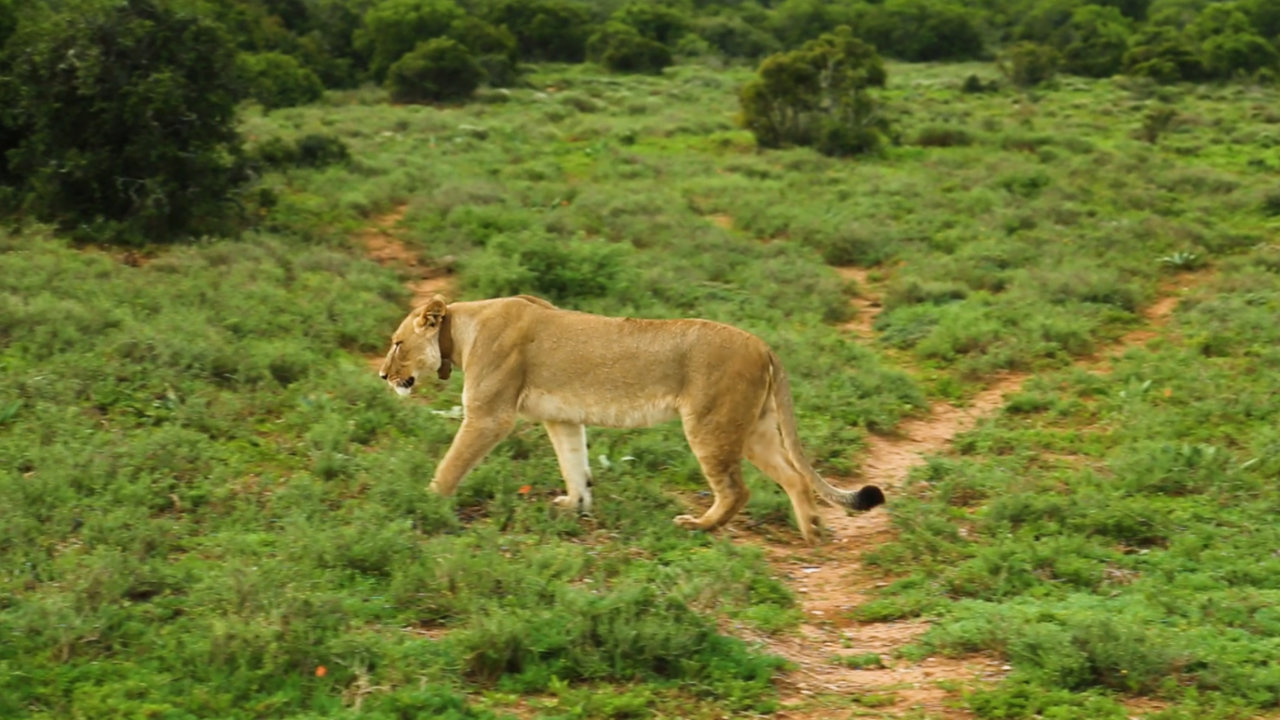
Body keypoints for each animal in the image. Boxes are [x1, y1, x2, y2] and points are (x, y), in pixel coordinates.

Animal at [378, 294, 885, 544]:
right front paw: (574, 506)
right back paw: (812, 532)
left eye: (397, 343)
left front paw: (424, 504)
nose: (383, 374)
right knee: (794, 477)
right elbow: (574, 464)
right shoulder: (562, 417)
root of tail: (764, 345)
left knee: (736, 490)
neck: (460, 331)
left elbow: (451, 465)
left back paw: (698, 527)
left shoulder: (489, 416)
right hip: (754, 427)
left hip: (710, 422)